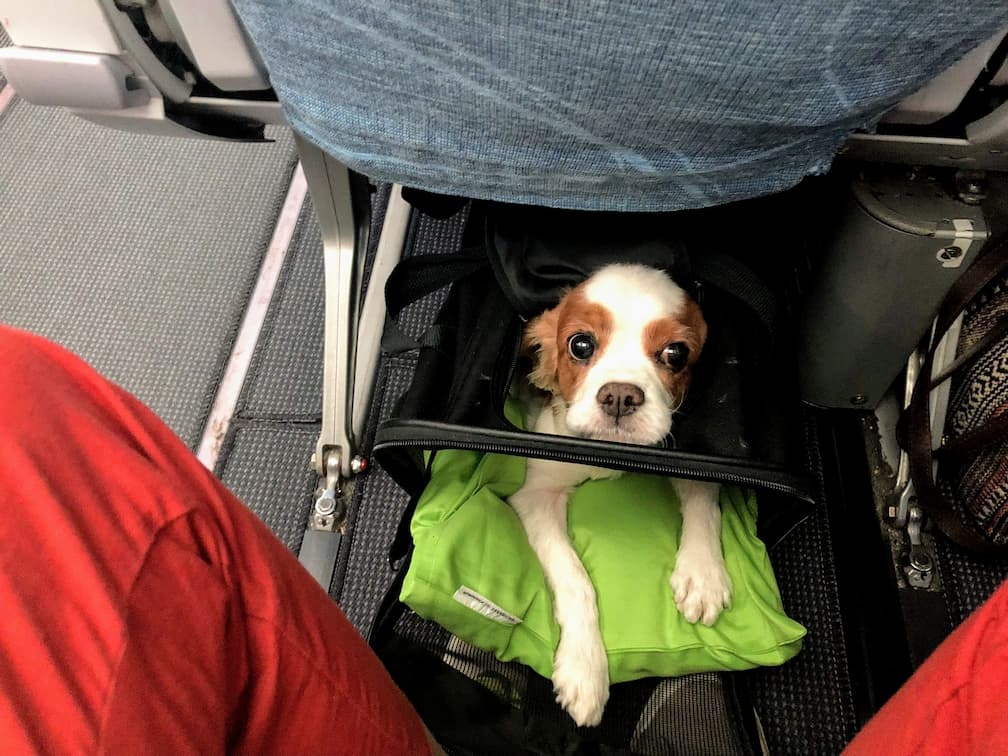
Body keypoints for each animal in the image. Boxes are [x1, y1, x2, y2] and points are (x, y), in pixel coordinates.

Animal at [508, 264, 729, 729]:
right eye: (580, 344)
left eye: (675, 353)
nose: (621, 397)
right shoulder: (538, 494)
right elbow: (575, 579)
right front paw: (585, 670)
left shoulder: (689, 458)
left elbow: (704, 492)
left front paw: (702, 574)